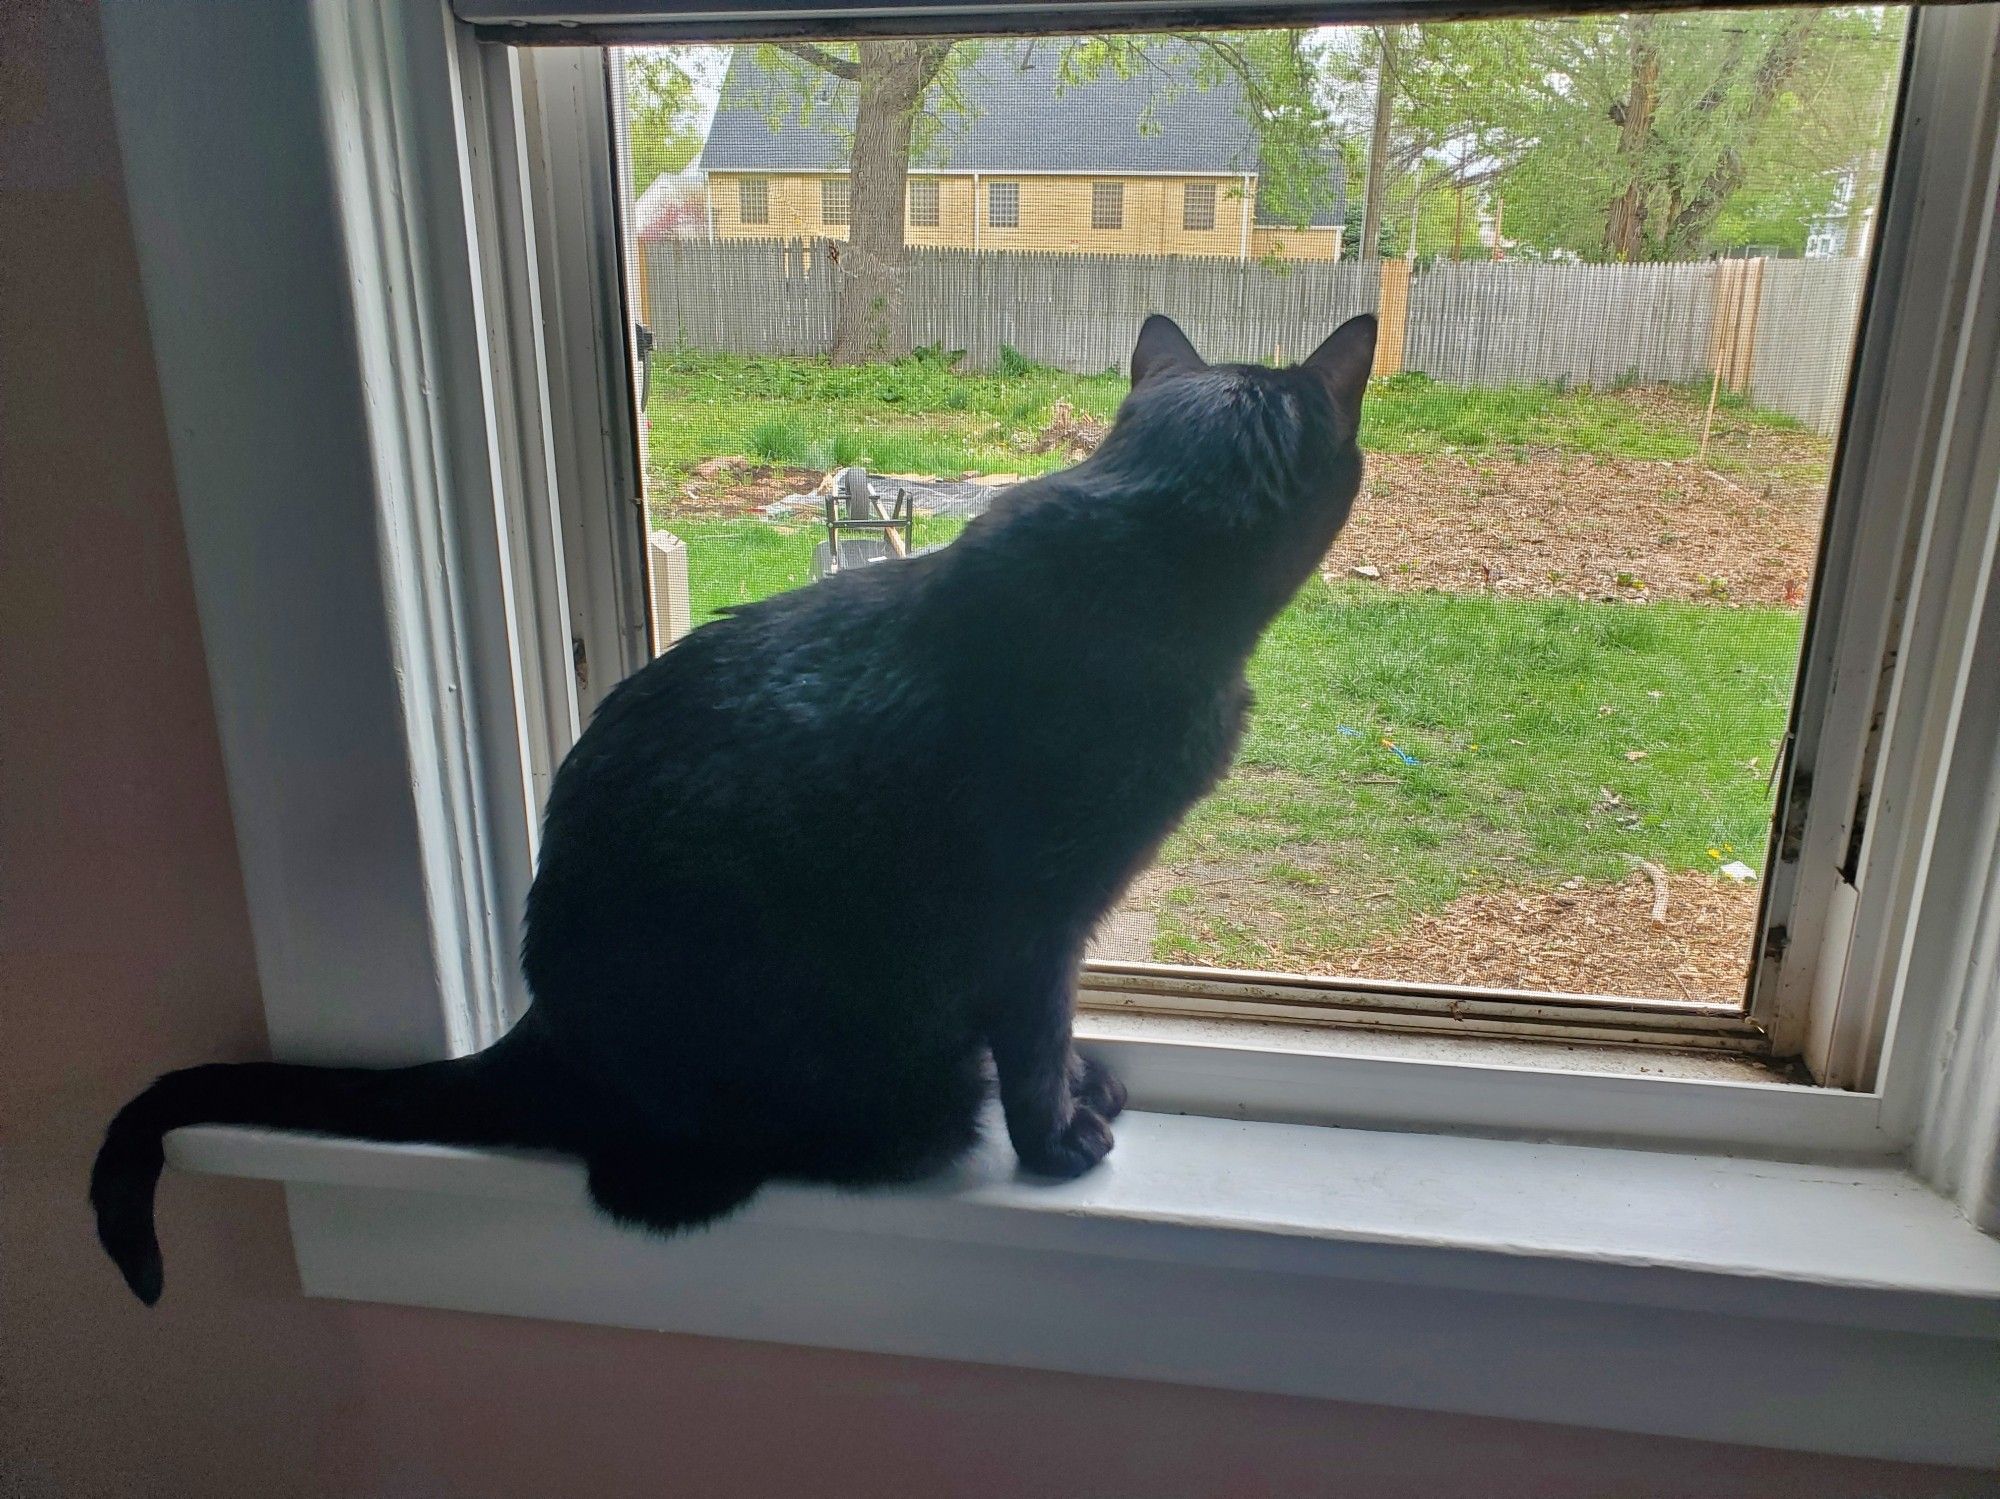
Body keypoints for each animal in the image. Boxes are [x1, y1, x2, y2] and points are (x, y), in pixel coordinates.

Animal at [94, 313, 1376, 1303]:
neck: (1149, 563)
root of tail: (544, 1029)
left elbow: (1052, 1031)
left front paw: (1080, 1085)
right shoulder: (1038, 919)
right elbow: (1034, 1032)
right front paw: (1057, 1135)